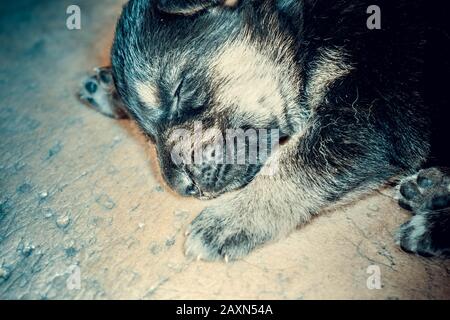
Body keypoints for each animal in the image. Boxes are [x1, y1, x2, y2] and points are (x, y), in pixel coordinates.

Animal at [79, 0, 448, 260]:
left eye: (179, 90)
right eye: (146, 134)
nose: (184, 188)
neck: (299, 27)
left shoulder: (379, 106)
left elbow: (298, 160)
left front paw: (233, 217)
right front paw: (109, 87)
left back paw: (430, 222)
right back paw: (432, 191)